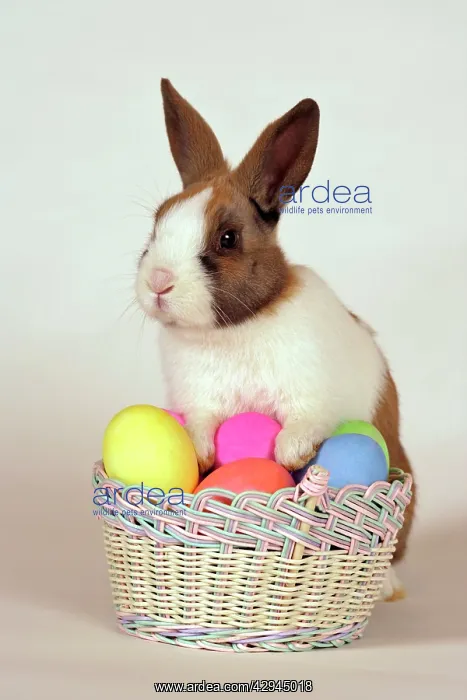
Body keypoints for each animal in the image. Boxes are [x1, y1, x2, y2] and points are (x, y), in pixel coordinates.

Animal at [135, 79, 416, 601]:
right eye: (155, 227)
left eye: (227, 238)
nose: (159, 282)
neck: (234, 329)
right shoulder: (198, 400)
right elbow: (200, 427)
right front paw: (202, 453)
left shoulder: (313, 397)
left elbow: (298, 428)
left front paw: (293, 454)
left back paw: (388, 587)